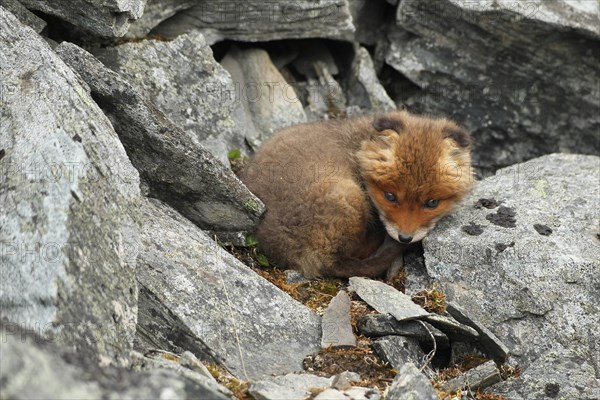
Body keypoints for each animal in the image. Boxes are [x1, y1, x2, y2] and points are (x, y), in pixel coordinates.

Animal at [239, 111, 474, 276]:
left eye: (432, 202)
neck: (357, 147)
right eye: (390, 196)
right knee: (348, 261)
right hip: (347, 195)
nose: (405, 238)